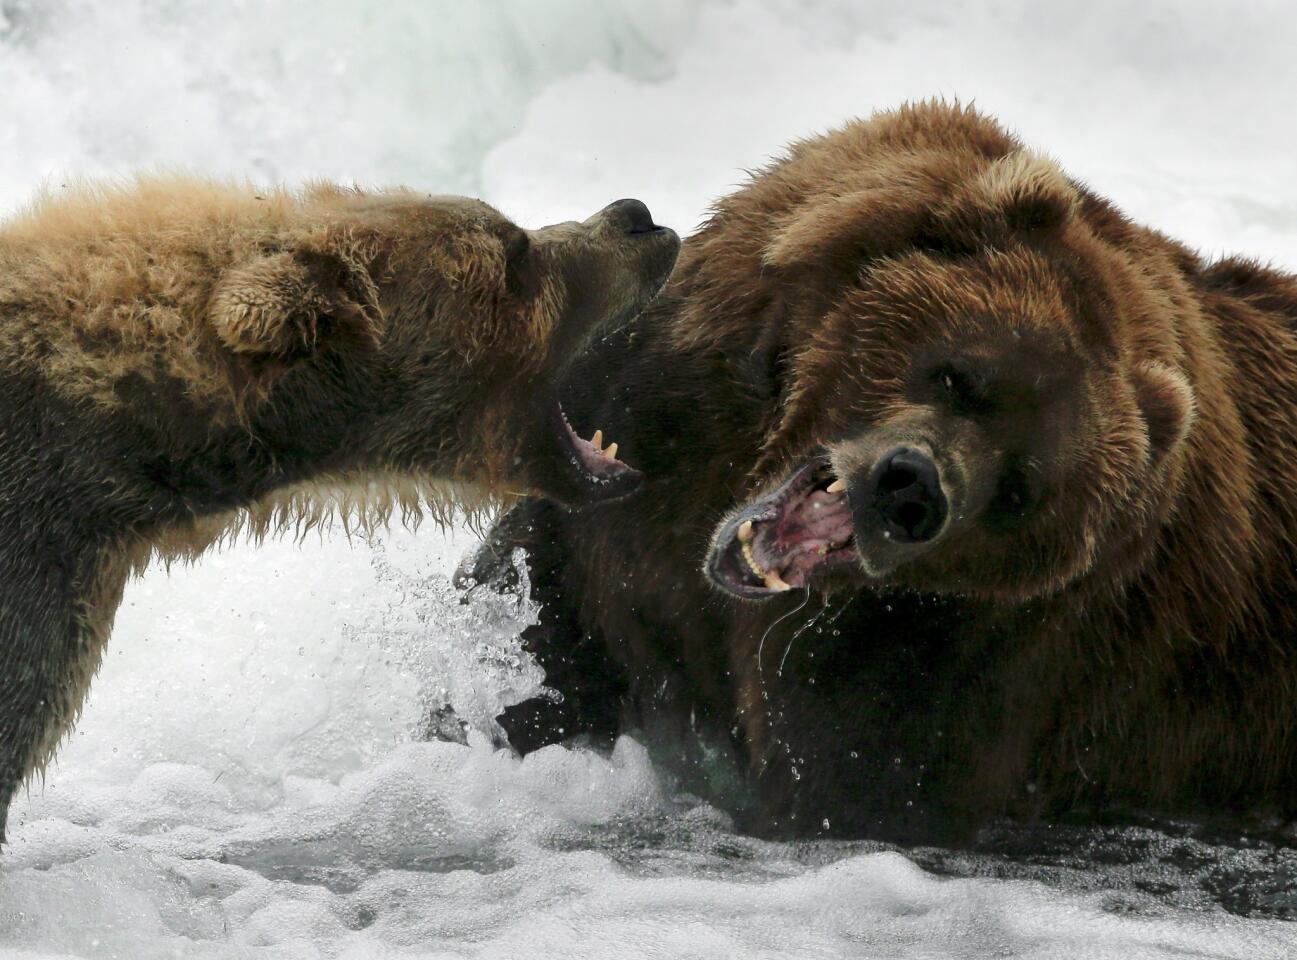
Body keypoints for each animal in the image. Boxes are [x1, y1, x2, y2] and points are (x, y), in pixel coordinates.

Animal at [466, 101, 1297, 845]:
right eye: (957, 374)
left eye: (1019, 487)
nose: (911, 489)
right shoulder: (637, 474)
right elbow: (537, 626)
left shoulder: (953, 657)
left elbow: (846, 785)